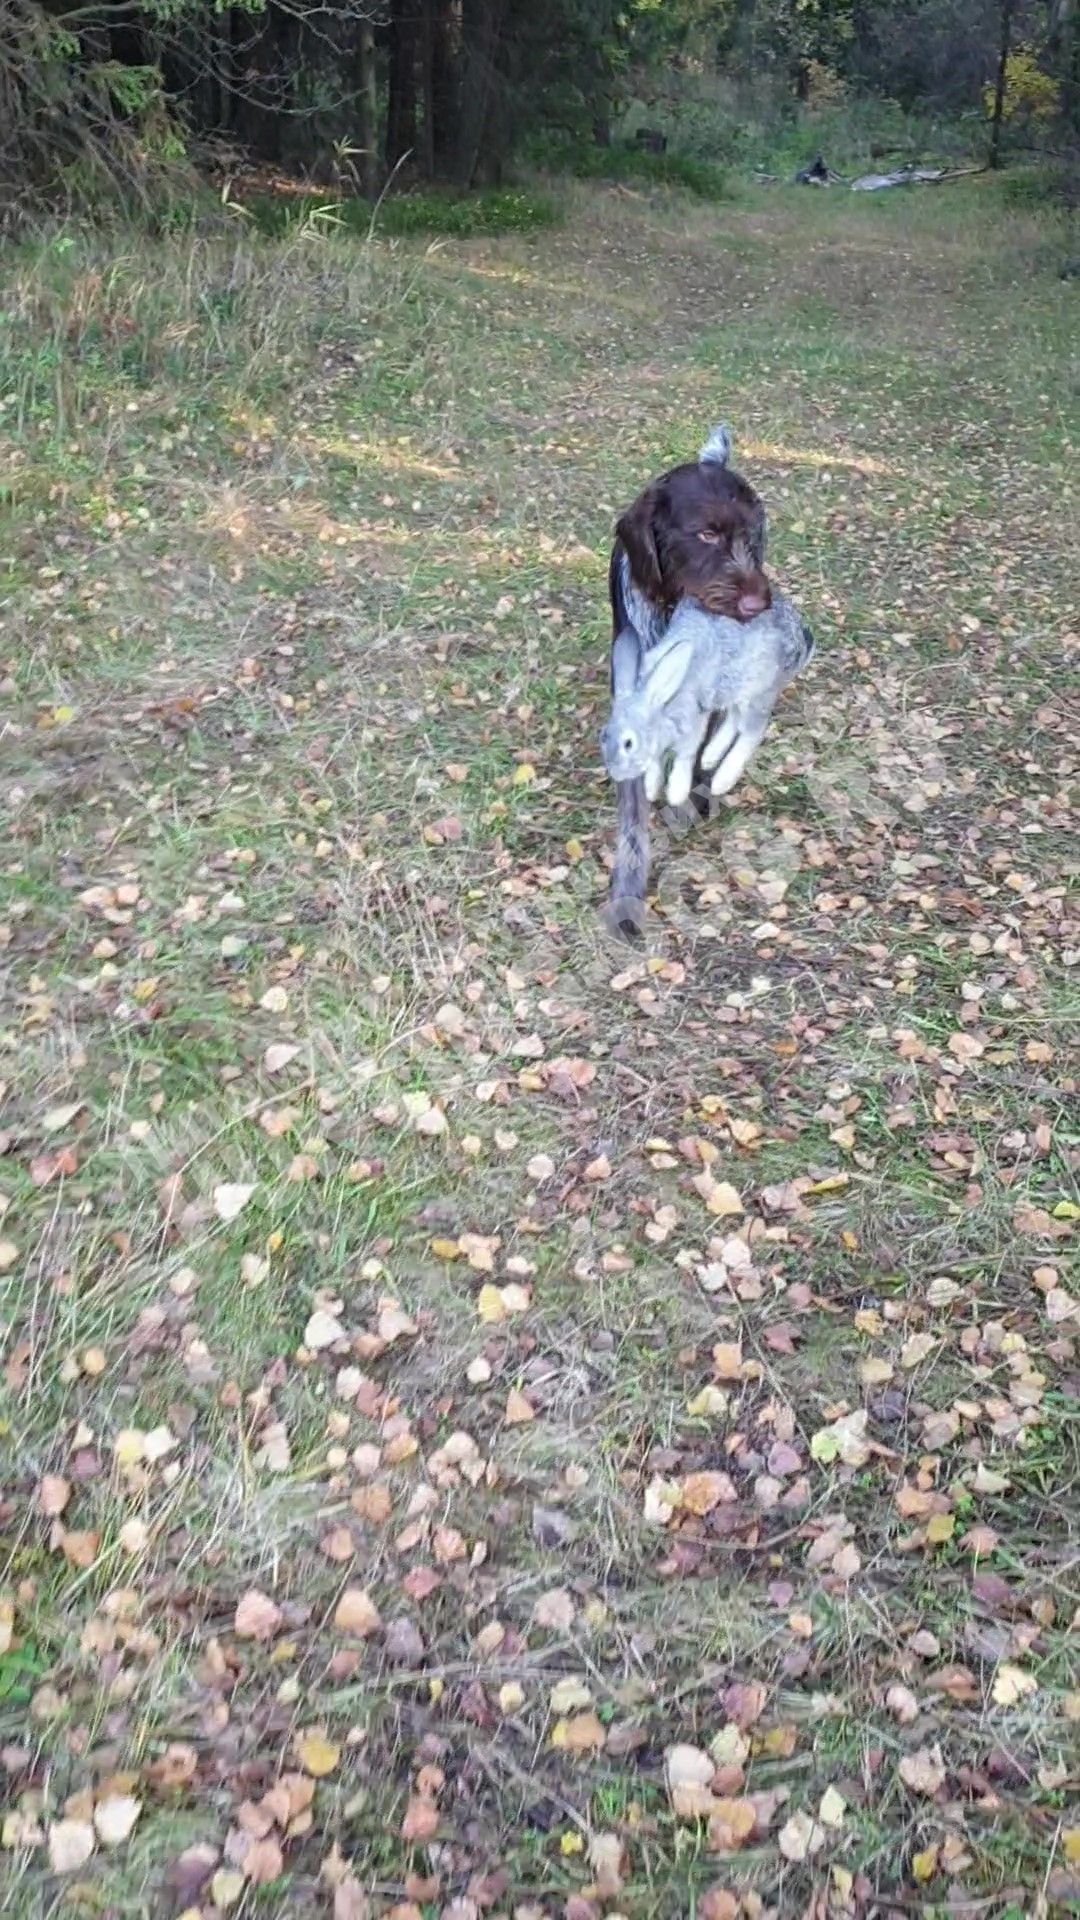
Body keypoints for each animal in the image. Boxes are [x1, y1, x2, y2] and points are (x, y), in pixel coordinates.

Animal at [600, 590, 815, 808]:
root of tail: (800, 640)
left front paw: (676, 794)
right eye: (604, 735)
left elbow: (684, 757)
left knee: (752, 732)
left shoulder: (691, 724)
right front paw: (652, 790)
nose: (617, 774)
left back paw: (721, 781)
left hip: (759, 691)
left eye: (628, 743)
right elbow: (655, 763)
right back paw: (710, 757)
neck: (660, 700)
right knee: (734, 719)